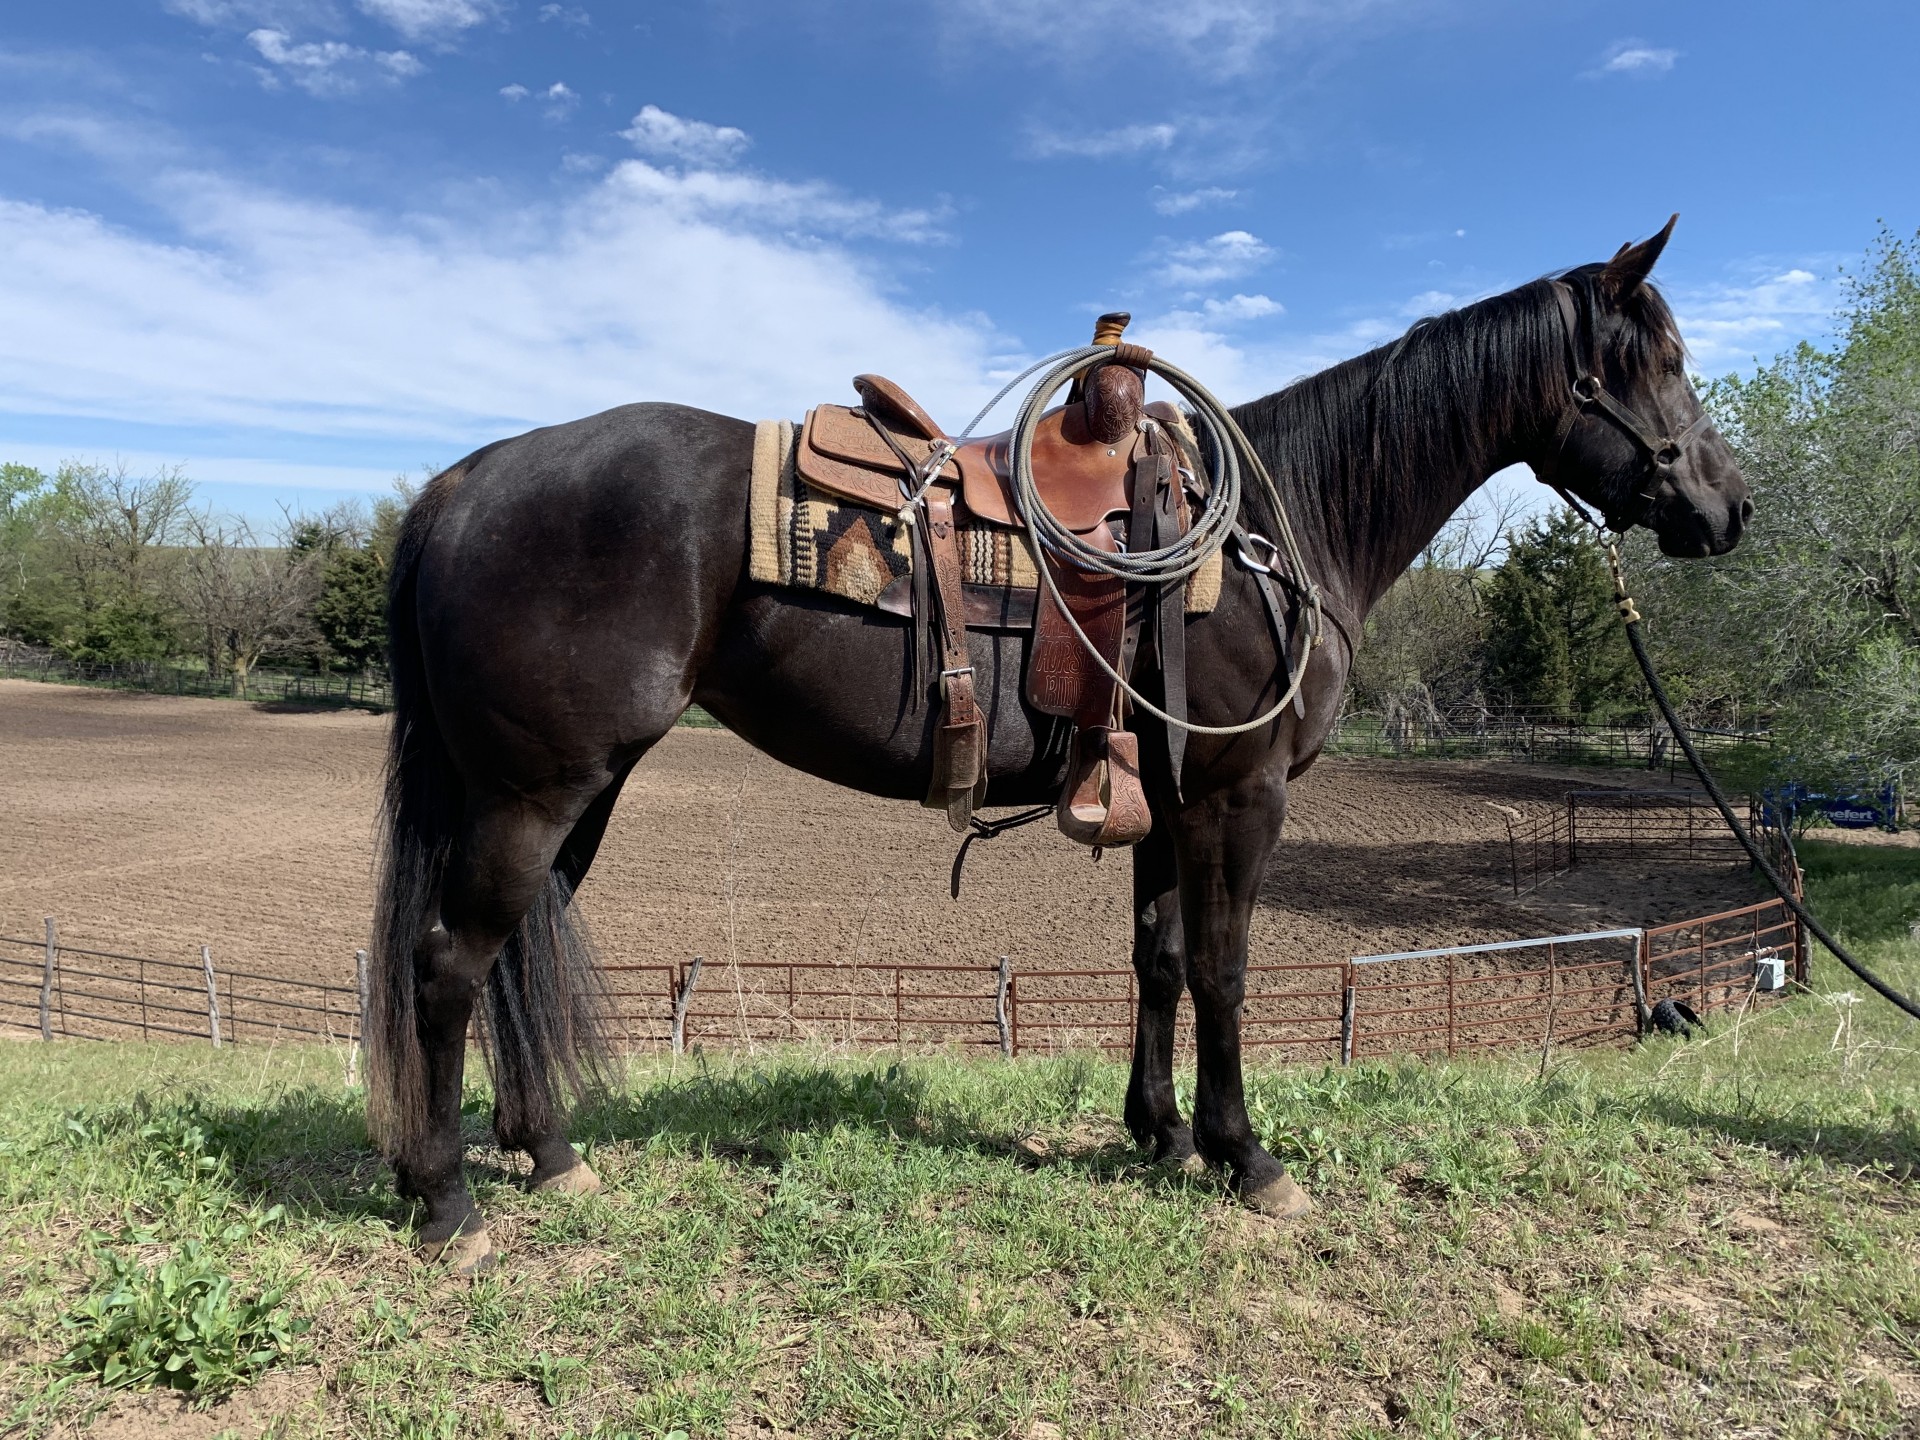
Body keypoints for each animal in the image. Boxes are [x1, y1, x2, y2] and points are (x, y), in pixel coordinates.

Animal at [362, 219, 1758, 1267]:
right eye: (1661, 358)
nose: (1729, 507)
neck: (1278, 521)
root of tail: (469, 478)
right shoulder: (1241, 797)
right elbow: (1225, 971)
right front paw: (1250, 1158)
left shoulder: (1167, 798)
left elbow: (1159, 961)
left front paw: (1162, 1134)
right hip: (536, 788)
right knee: (448, 961)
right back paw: (445, 1198)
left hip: (571, 790)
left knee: (511, 956)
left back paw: (549, 1154)